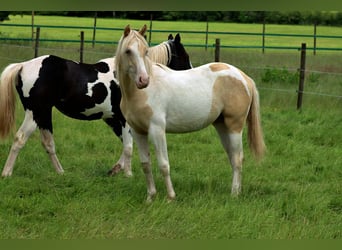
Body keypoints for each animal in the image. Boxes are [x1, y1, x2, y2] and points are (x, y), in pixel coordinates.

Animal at [0, 33, 192, 178]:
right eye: (185, 56)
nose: (191, 71)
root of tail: (22, 66)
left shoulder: (113, 119)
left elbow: (126, 144)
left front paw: (116, 169)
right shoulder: (123, 119)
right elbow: (129, 147)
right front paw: (127, 173)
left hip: (44, 114)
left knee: (48, 143)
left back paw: (60, 172)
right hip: (35, 113)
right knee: (20, 138)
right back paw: (7, 173)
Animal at [115, 24, 264, 201]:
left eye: (146, 51)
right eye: (128, 51)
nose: (143, 80)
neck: (140, 93)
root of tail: (244, 77)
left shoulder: (157, 130)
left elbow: (164, 164)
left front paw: (171, 197)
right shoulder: (138, 131)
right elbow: (146, 165)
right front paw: (150, 197)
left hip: (235, 126)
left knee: (237, 158)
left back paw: (234, 194)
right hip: (222, 127)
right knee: (233, 158)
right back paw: (237, 191)